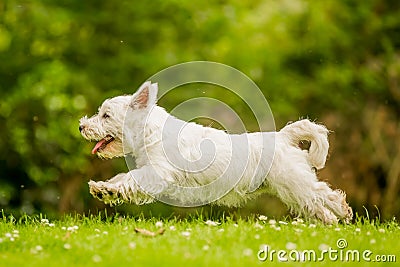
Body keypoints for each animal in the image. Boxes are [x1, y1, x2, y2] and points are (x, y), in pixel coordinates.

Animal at [79, 81, 352, 224]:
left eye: (106, 115)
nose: (81, 126)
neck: (149, 132)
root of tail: (283, 137)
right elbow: (121, 179)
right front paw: (102, 188)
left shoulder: (157, 173)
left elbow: (129, 179)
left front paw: (107, 188)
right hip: (291, 190)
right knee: (315, 205)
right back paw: (330, 222)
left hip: (294, 182)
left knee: (325, 195)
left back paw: (344, 212)